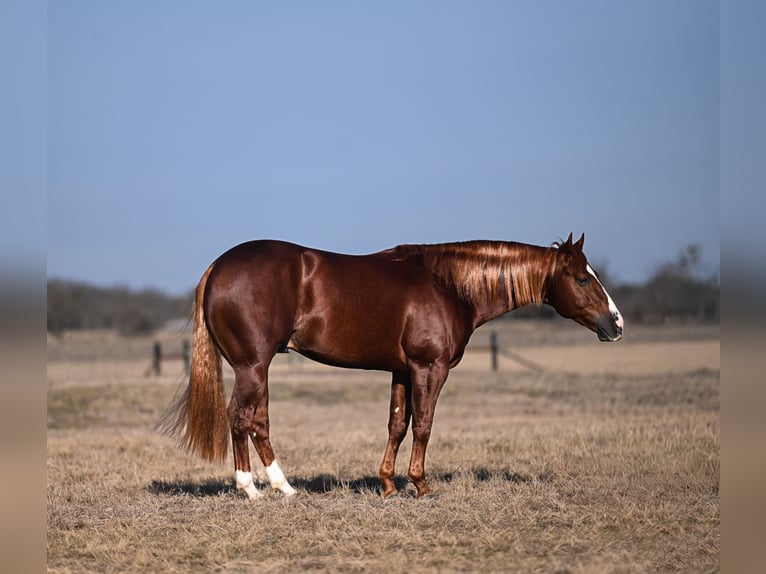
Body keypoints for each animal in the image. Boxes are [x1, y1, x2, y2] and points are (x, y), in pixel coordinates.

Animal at [159, 233, 623, 500]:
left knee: (257, 422)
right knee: (242, 418)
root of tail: (219, 266)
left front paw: (386, 485)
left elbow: (397, 424)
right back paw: (255, 490)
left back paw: (280, 487)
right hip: (253, 366)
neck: (447, 286)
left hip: (258, 369)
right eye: (583, 278)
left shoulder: (402, 371)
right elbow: (423, 426)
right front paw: (420, 484)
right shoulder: (429, 368)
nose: (615, 325)